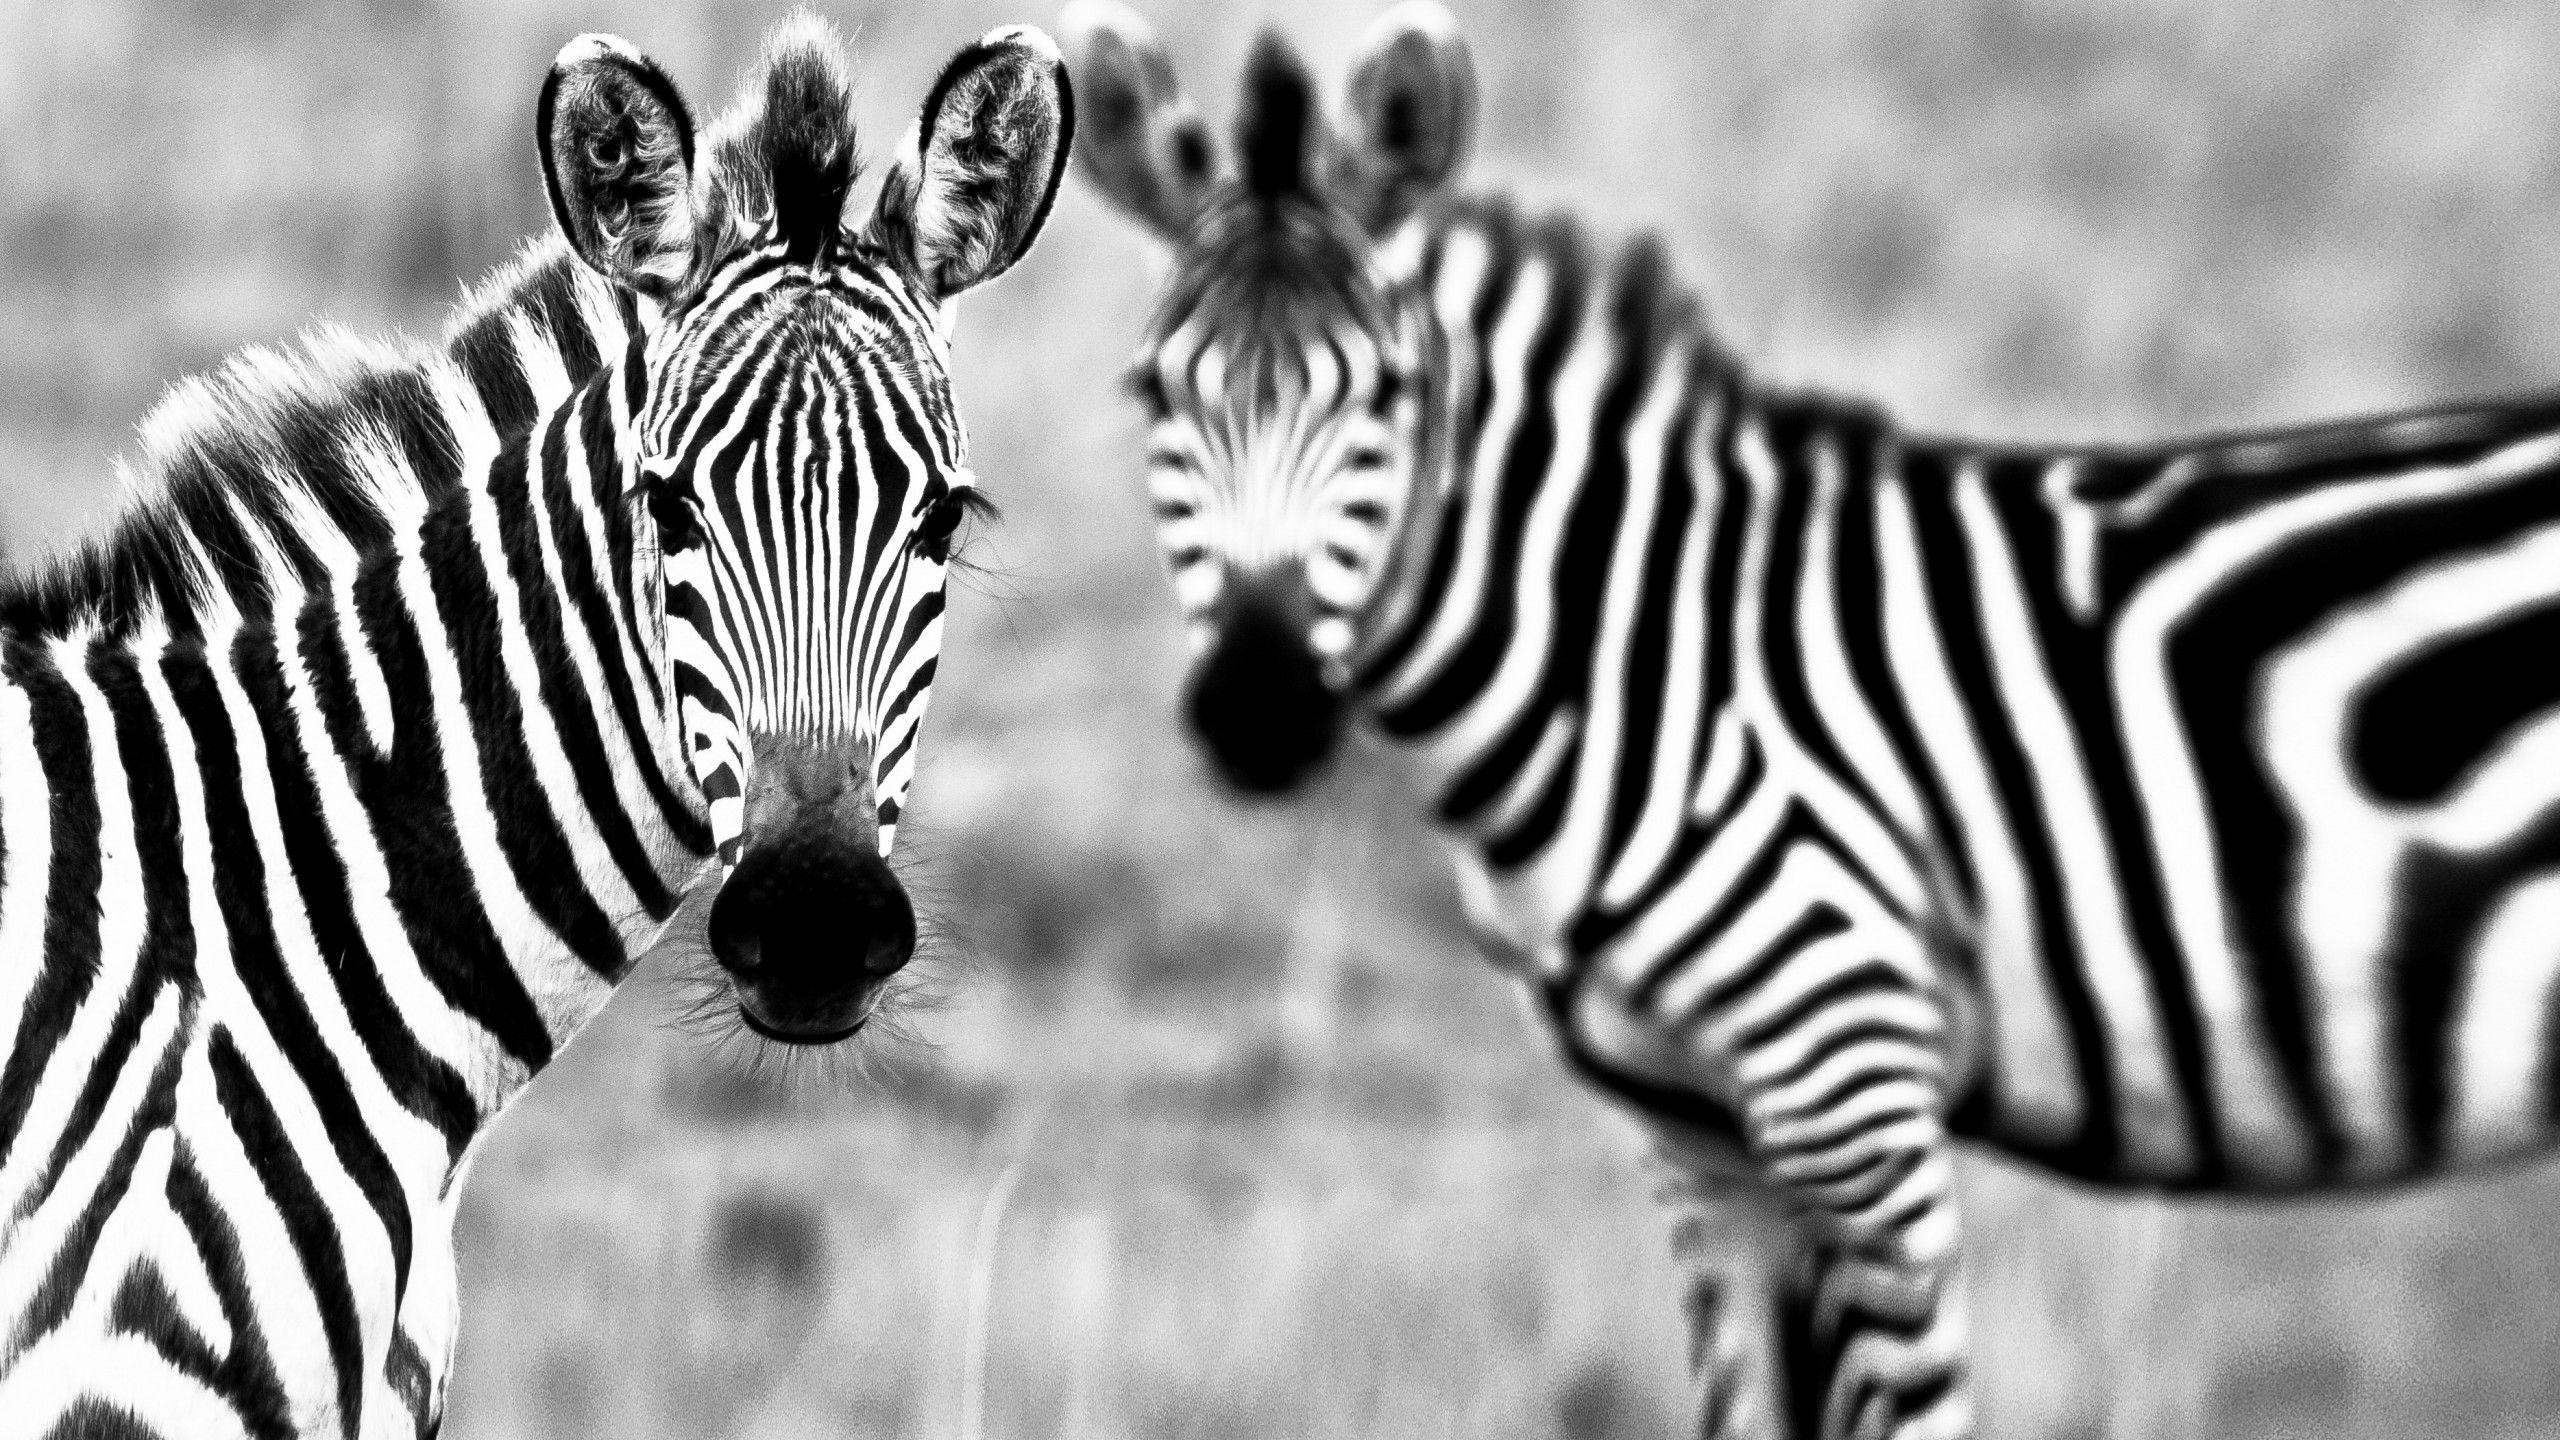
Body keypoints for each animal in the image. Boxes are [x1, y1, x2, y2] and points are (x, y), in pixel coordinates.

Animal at [1066, 3, 2560, 1436]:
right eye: (1152, 394)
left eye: (1388, 393)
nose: (1258, 713)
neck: (1648, 659)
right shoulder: (1701, 1143)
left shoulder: (1852, 1092)